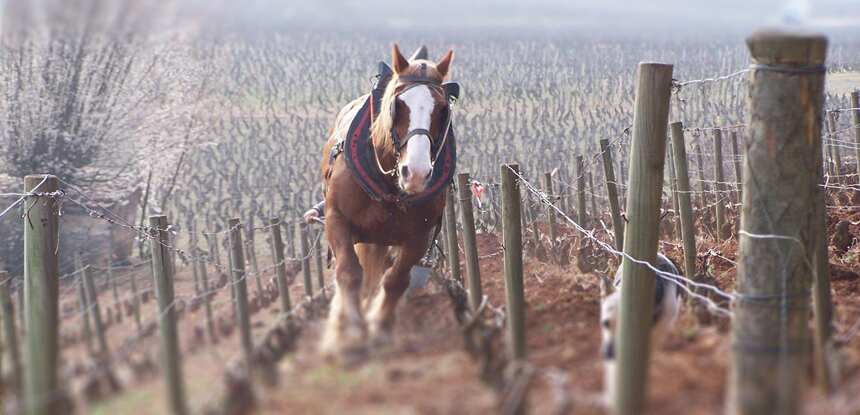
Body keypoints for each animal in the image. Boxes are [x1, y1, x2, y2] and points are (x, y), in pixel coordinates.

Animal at [320, 44, 456, 362]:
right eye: (398, 105)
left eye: (442, 110)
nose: (416, 173)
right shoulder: (336, 219)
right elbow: (348, 273)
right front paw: (351, 335)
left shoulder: (419, 236)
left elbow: (396, 280)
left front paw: (379, 328)